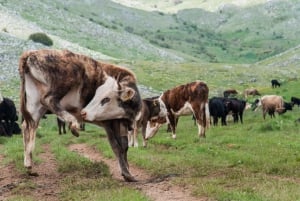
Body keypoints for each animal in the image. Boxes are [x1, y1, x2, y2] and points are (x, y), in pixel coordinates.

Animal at [19, 49, 142, 182]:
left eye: (106, 99)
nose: (84, 112)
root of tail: (31, 53)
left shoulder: (118, 123)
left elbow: (122, 146)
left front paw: (127, 170)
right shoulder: (110, 122)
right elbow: (118, 147)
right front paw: (127, 173)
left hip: (34, 104)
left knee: (29, 126)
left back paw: (29, 164)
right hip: (64, 81)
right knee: (48, 100)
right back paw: (73, 123)